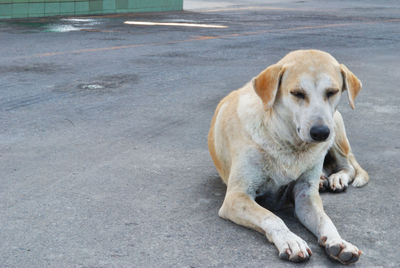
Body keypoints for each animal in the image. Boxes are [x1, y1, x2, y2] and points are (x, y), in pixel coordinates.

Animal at [209, 49, 368, 264]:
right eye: (297, 93)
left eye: (332, 92)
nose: (320, 133)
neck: (288, 143)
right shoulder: (237, 196)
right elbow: (271, 217)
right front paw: (292, 240)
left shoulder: (305, 196)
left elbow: (325, 219)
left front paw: (338, 241)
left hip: (335, 128)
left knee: (348, 165)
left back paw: (337, 178)